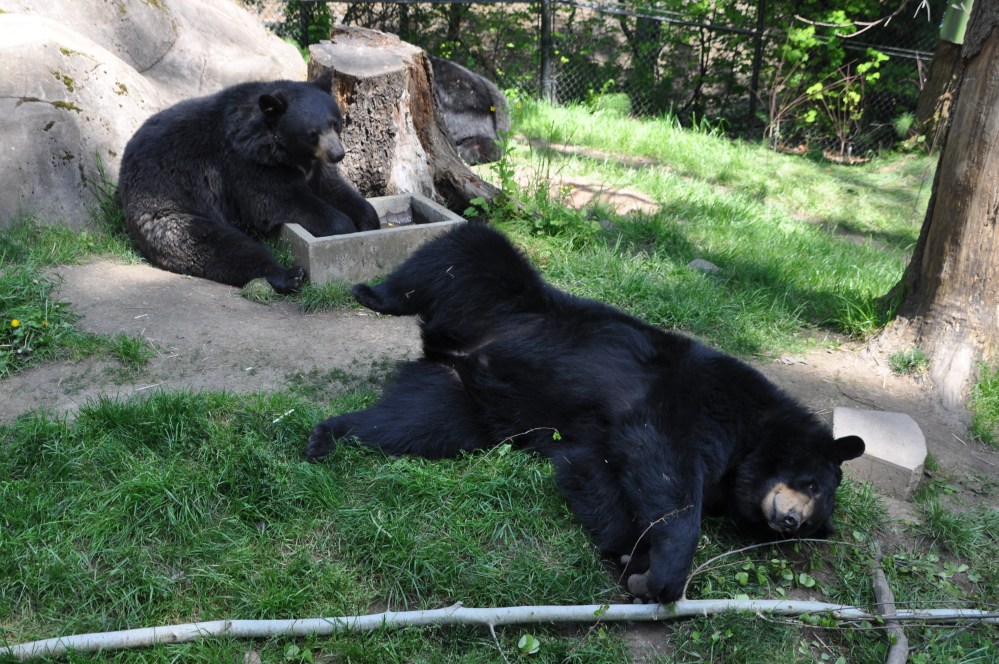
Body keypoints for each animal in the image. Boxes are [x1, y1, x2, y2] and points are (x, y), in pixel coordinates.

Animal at [118, 72, 379, 294]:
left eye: (335, 123)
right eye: (312, 133)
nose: (338, 154)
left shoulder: (313, 164)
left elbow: (333, 187)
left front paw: (369, 221)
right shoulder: (245, 165)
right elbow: (277, 201)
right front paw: (343, 226)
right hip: (166, 212)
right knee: (219, 246)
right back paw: (288, 275)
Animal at [306, 223, 865, 603]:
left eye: (814, 519)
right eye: (812, 482)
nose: (789, 521)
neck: (751, 440)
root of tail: (455, 349)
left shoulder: (595, 444)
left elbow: (595, 472)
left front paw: (631, 556)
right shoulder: (701, 398)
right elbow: (665, 460)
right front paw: (664, 573)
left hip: (458, 402)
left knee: (409, 423)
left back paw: (327, 436)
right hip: (502, 292)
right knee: (459, 252)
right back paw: (370, 294)